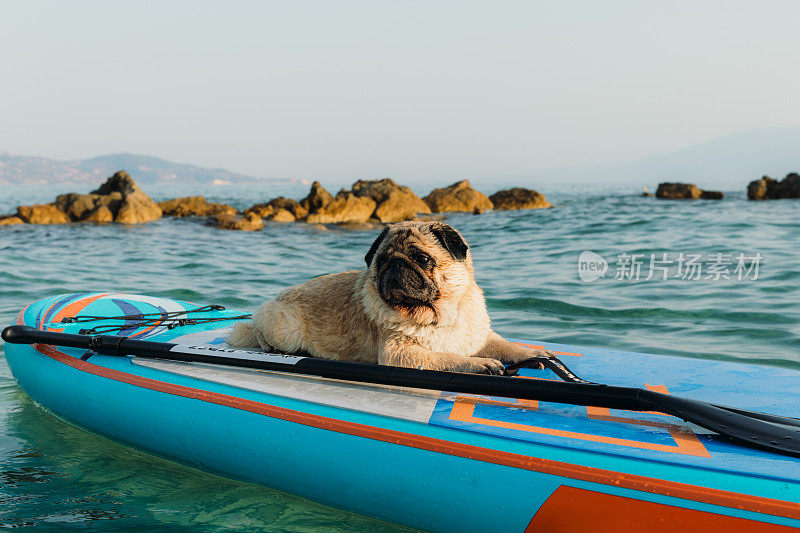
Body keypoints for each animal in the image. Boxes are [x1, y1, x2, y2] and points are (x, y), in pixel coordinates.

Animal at [225, 218, 552, 372]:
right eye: (381, 261)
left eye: (421, 258)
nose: (395, 265)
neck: (441, 315)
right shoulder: (400, 353)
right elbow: (446, 357)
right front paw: (477, 364)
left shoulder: (478, 335)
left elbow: (505, 345)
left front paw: (532, 354)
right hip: (284, 329)